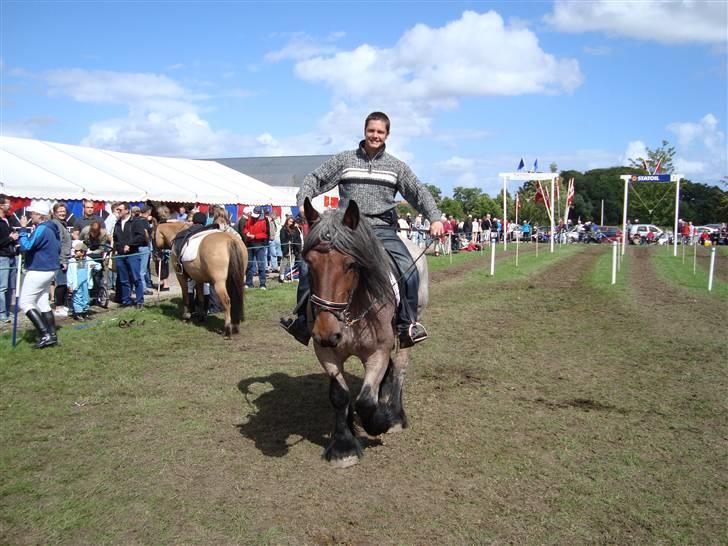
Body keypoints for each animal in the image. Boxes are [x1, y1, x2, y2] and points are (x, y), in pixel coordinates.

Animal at [300, 198, 426, 466]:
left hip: (410, 328)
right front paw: (343, 444)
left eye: (350, 264)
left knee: (400, 367)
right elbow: (340, 395)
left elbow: (366, 401)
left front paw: (379, 422)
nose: (326, 331)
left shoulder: (377, 352)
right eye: (309, 263)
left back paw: (395, 416)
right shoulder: (326, 353)